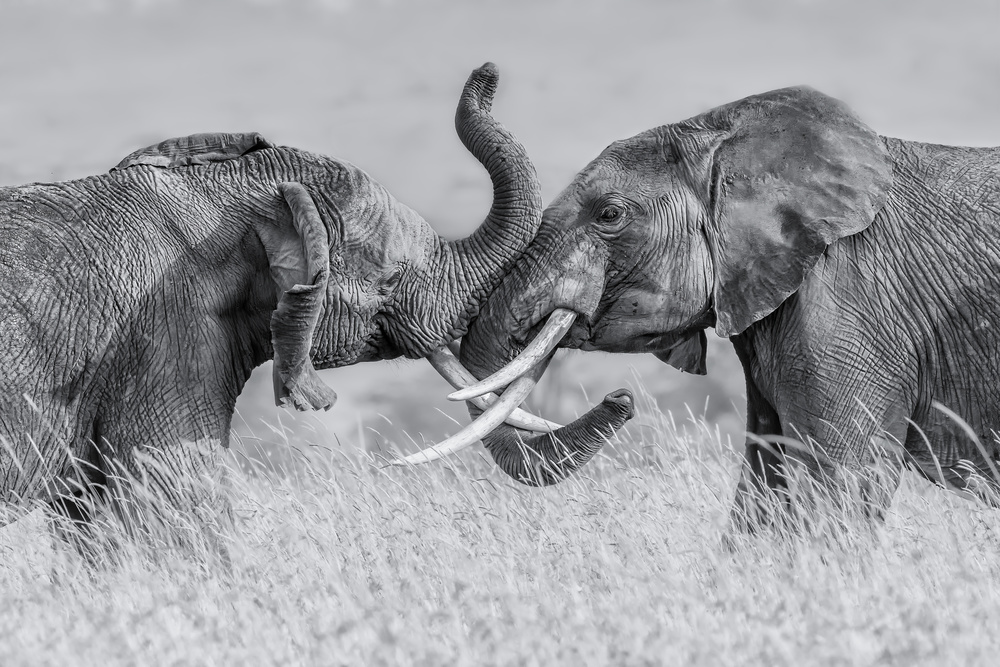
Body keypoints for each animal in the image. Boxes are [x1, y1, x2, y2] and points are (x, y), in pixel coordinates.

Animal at [406, 85, 1000, 525]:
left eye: (609, 215)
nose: (622, 399)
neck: (725, 136)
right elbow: (763, 485)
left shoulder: (849, 299)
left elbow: (840, 484)